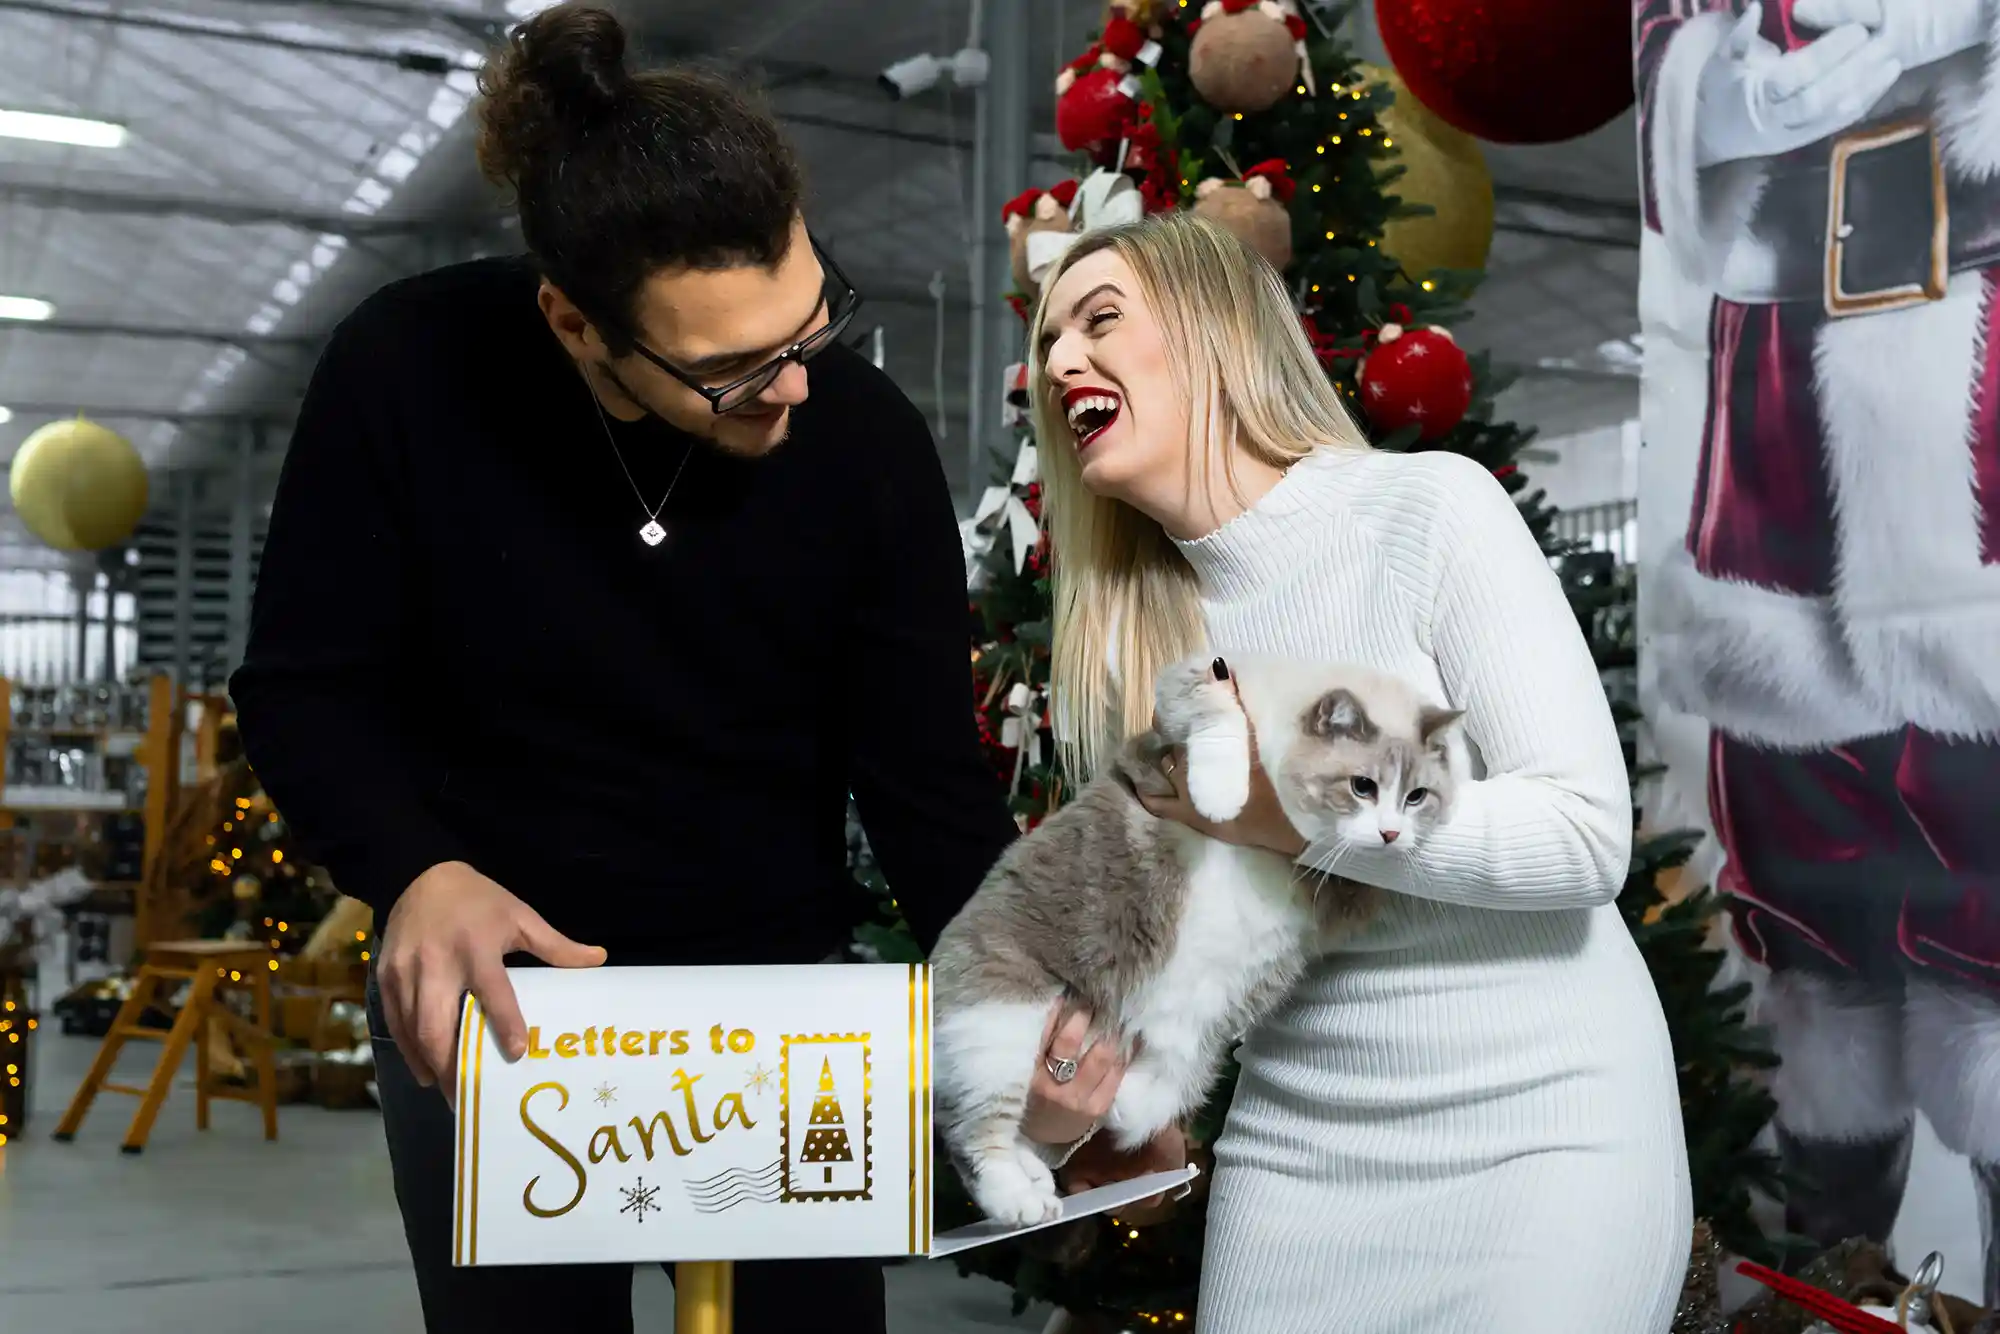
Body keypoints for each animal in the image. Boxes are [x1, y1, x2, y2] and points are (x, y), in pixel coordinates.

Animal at [930, 651, 1466, 1227]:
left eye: (1416, 797)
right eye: (1362, 786)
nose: (1391, 834)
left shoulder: (1349, 891)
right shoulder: (1191, 693)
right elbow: (1218, 717)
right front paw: (1222, 798)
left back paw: (1090, 1135)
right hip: (1003, 1022)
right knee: (971, 1133)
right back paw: (1021, 1200)